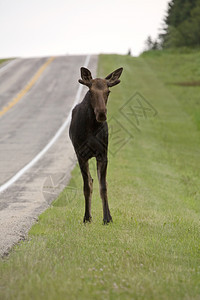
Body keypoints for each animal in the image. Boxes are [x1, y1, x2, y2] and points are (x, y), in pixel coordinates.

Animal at [69, 67, 122, 224]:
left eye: (108, 91)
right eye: (91, 91)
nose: (101, 113)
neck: (91, 128)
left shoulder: (103, 154)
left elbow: (103, 187)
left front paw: (107, 218)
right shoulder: (81, 155)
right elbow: (87, 187)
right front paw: (86, 217)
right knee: (90, 181)